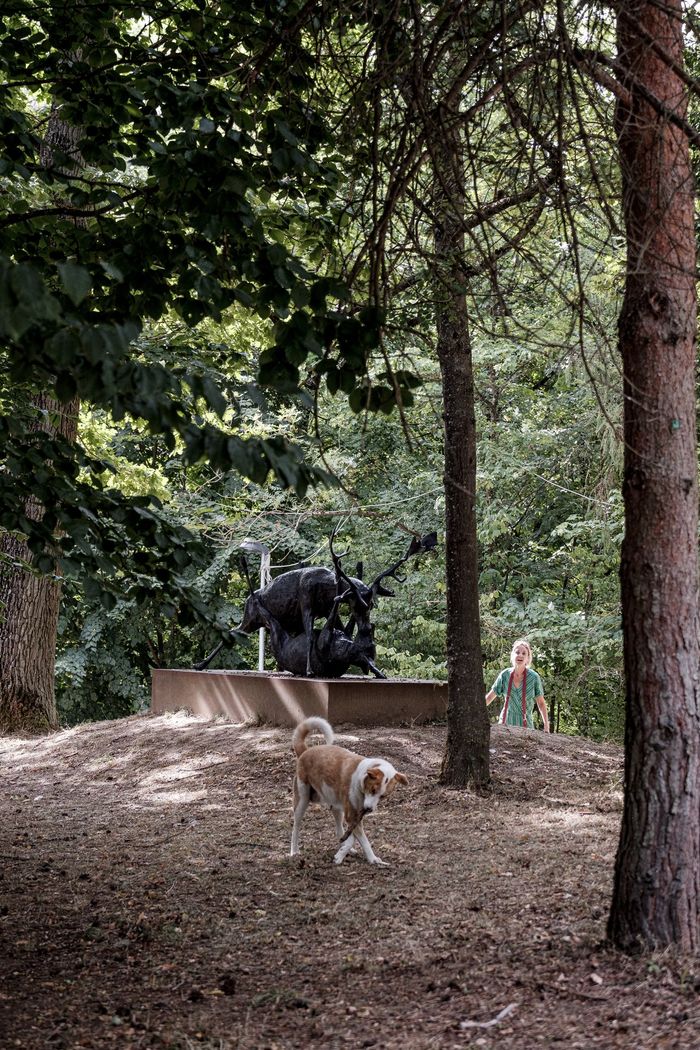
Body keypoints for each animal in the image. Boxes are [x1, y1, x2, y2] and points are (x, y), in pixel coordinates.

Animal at [289, 718, 407, 865]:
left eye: (383, 796)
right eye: (373, 789)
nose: (369, 809)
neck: (360, 780)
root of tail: (305, 751)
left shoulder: (354, 816)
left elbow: (355, 838)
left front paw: (369, 858)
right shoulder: (352, 815)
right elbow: (358, 839)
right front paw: (343, 855)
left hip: (336, 806)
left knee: (339, 831)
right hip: (302, 800)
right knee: (296, 827)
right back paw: (294, 851)